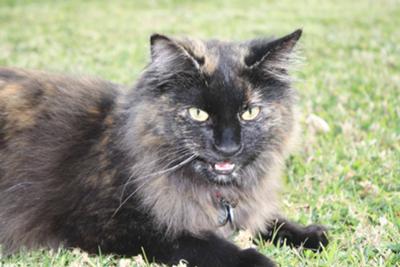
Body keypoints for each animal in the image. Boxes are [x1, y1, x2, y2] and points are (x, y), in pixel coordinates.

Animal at [0, 29, 328, 267]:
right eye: (198, 113)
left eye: (249, 113)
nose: (228, 147)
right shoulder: (112, 225)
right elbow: (205, 245)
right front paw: (259, 260)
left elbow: (271, 221)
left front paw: (310, 235)